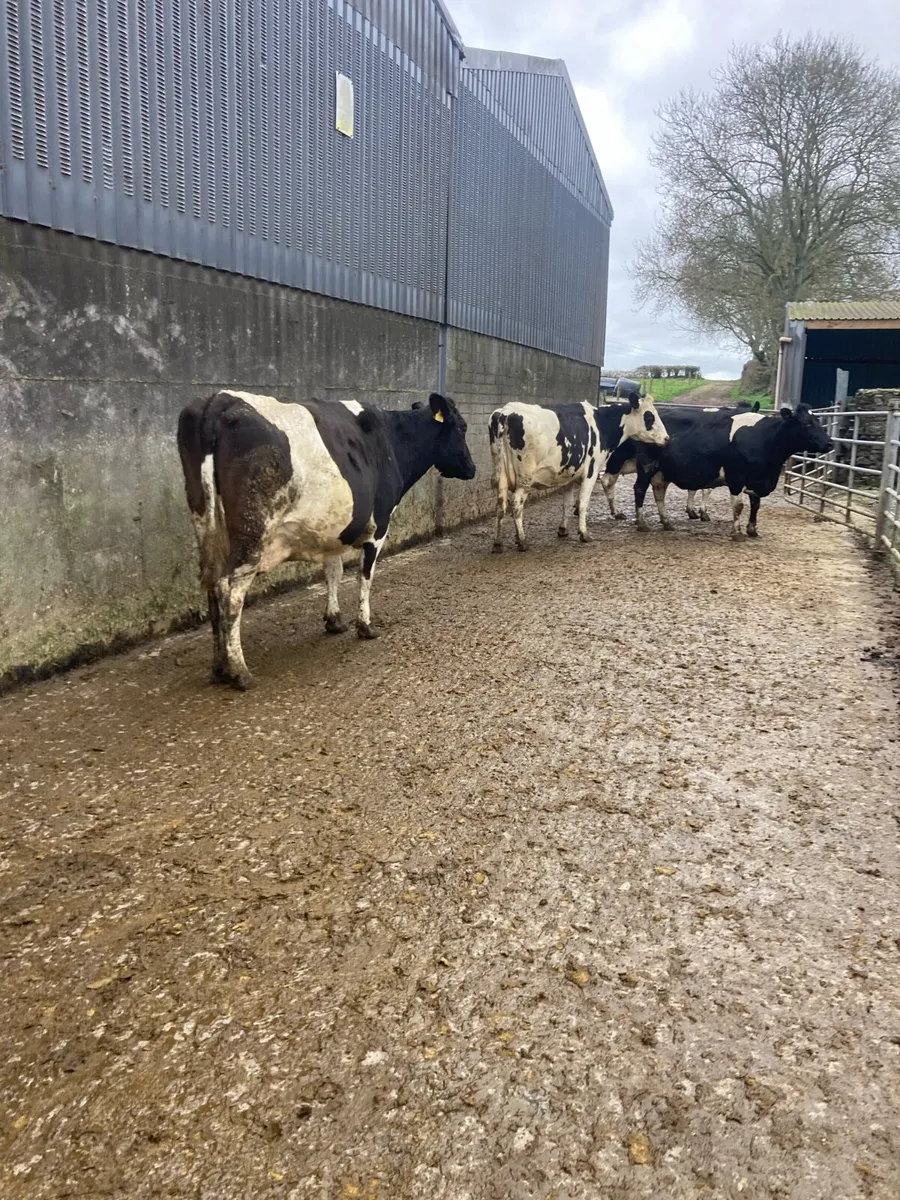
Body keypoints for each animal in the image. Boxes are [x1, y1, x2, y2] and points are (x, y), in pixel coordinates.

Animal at [177, 390, 476, 689]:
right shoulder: (378, 526)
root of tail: (220, 399)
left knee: (213, 588)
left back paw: (219, 667)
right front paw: (365, 625)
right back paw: (239, 671)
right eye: (462, 427)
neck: (392, 441)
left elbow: (334, 571)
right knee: (231, 594)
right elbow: (365, 577)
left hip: (206, 526)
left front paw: (334, 620)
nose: (472, 468)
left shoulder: (332, 529)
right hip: (252, 534)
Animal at [488, 393, 669, 552]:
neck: (602, 423)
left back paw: (498, 543)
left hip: (501, 475)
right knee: (516, 504)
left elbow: (567, 504)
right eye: (649, 417)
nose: (667, 438)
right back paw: (522, 541)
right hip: (525, 478)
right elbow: (582, 503)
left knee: (500, 505)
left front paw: (563, 529)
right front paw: (584, 533)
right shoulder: (591, 471)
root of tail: (506, 412)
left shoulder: (568, 475)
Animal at [600, 404, 832, 539]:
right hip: (645, 465)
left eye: (818, 421)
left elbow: (755, 504)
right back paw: (639, 522)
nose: (830, 443)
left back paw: (666, 522)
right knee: (636, 488)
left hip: (661, 470)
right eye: (806, 423)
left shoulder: (757, 480)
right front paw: (737, 532)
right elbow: (738, 505)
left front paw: (752, 529)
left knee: (658, 491)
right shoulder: (736, 476)